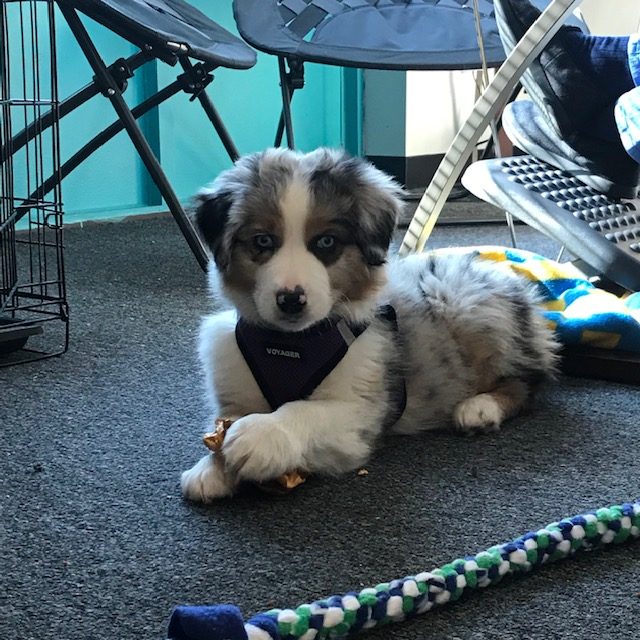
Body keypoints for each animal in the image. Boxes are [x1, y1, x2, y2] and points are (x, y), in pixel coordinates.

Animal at [181, 148, 560, 502]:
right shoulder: (235, 385)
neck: (291, 343)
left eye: (326, 242)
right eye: (262, 241)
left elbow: (304, 410)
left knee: (528, 381)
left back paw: (479, 408)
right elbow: (226, 421)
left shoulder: (361, 408)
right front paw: (210, 469)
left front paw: (260, 434)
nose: (290, 300)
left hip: (464, 301)